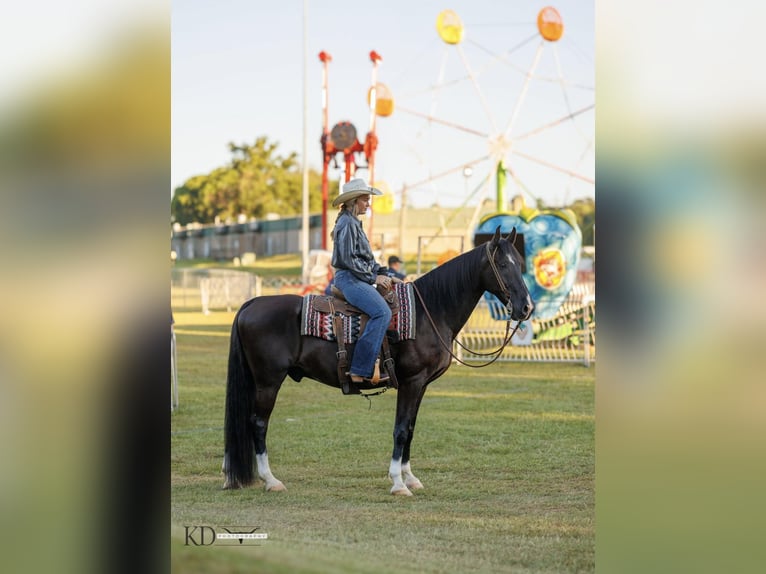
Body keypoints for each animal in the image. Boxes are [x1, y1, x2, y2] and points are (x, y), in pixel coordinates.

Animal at [222, 226, 534, 496]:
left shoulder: (422, 385)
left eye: (519, 263)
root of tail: (252, 303)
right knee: (258, 423)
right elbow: (400, 430)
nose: (526, 308)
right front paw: (398, 483)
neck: (429, 312)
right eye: (502, 265)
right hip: (268, 381)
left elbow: (410, 429)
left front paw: (410, 477)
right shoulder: (411, 382)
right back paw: (270, 480)